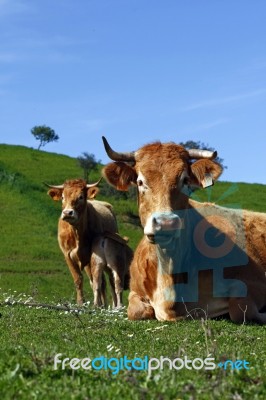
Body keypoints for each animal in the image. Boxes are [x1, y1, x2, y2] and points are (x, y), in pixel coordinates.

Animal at [47, 178, 132, 306]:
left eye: (81, 197)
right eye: (62, 197)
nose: (67, 213)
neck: (76, 233)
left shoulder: (89, 256)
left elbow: (97, 281)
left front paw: (100, 303)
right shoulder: (67, 255)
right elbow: (78, 279)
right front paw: (80, 302)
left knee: (107, 281)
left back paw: (107, 304)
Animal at [102, 136, 266, 324]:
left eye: (185, 180)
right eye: (140, 182)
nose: (166, 223)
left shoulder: (254, 282)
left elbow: (240, 310)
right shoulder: (135, 290)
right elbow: (136, 311)